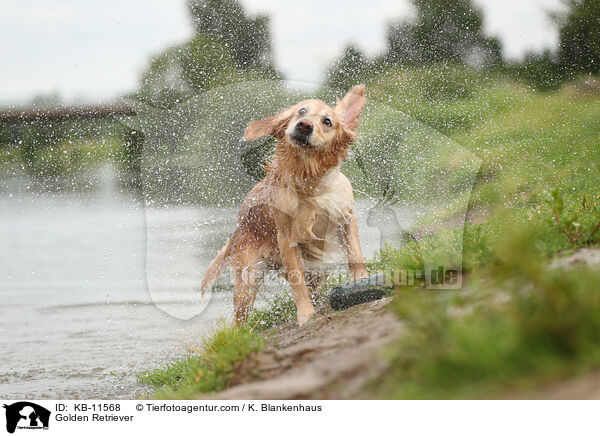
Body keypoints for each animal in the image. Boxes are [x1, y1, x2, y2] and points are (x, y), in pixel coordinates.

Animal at [202, 85, 368, 326]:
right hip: (247, 278)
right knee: (239, 319)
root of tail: (239, 225)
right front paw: (306, 315)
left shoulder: (346, 218)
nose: (304, 125)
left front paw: (363, 283)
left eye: (327, 121)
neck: (309, 181)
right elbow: (298, 284)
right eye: (301, 111)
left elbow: (356, 257)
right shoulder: (287, 239)